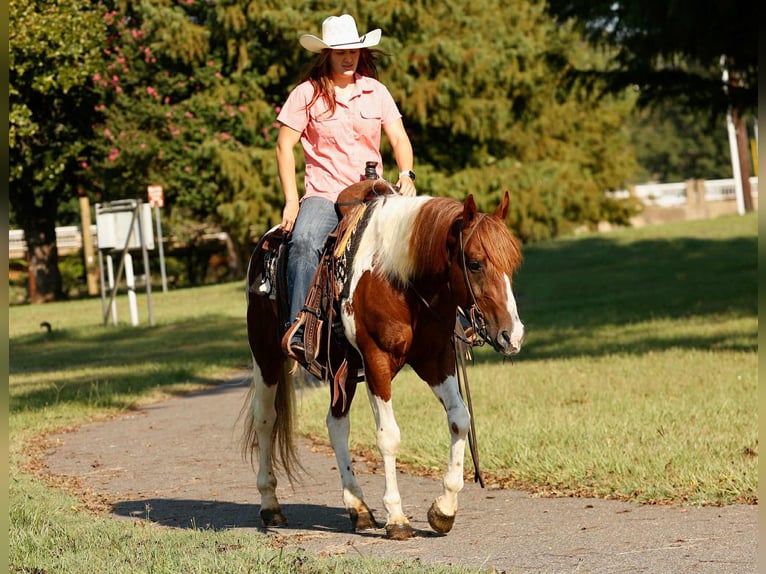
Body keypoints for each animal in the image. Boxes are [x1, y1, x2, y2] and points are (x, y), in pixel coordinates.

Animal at [243, 182, 524, 540]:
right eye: (474, 263)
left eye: (513, 263)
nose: (512, 335)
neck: (398, 278)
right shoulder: (376, 361)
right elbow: (388, 436)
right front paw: (397, 518)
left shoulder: (435, 359)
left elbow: (460, 418)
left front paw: (443, 510)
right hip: (265, 354)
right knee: (266, 419)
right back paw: (270, 506)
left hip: (342, 370)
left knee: (336, 424)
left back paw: (359, 508)